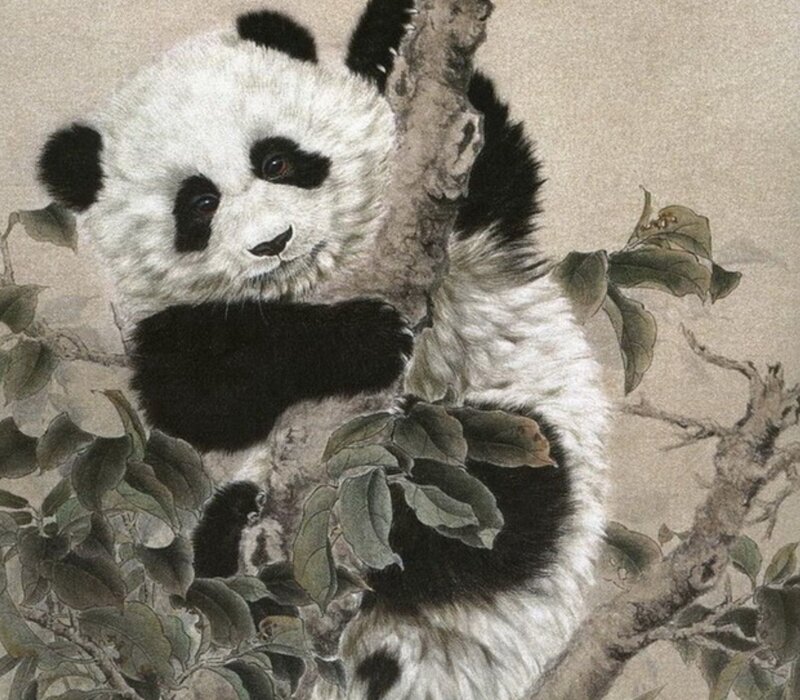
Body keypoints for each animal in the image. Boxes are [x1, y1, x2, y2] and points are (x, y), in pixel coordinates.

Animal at [37, 1, 608, 698]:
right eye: (200, 202)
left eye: (277, 162)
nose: (273, 242)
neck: (317, 280)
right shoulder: (169, 321)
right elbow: (201, 396)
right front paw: (363, 339)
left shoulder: (476, 235)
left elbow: (493, 164)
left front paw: (388, 44)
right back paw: (240, 536)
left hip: (515, 466)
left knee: (504, 489)